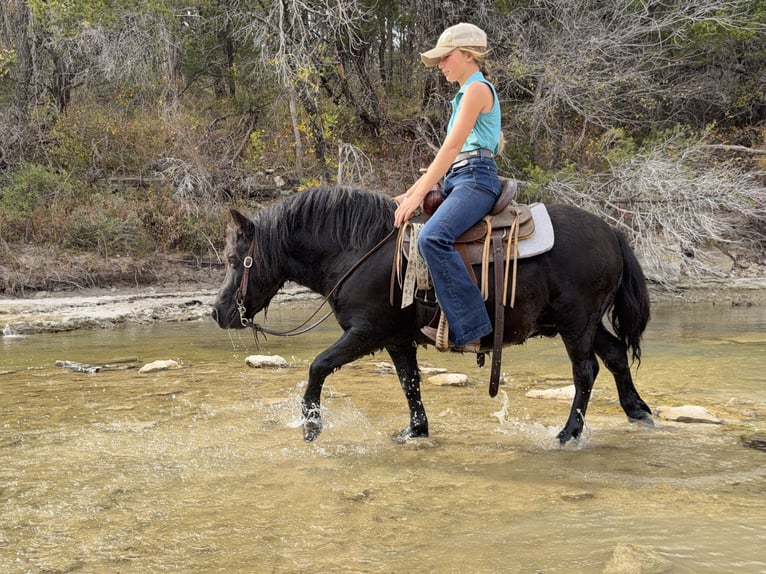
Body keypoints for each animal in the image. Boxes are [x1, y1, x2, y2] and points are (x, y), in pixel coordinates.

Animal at [211, 186, 653, 444]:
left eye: (234, 259)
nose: (218, 312)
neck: (359, 250)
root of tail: (612, 232)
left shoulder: (366, 333)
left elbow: (318, 366)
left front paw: (311, 425)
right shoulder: (396, 339)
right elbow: (410, 384)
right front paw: (415, 431)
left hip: (576, 323)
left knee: (585, 372)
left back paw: (568, 434)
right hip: (585, 323)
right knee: (615, 356)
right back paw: (638, 412)